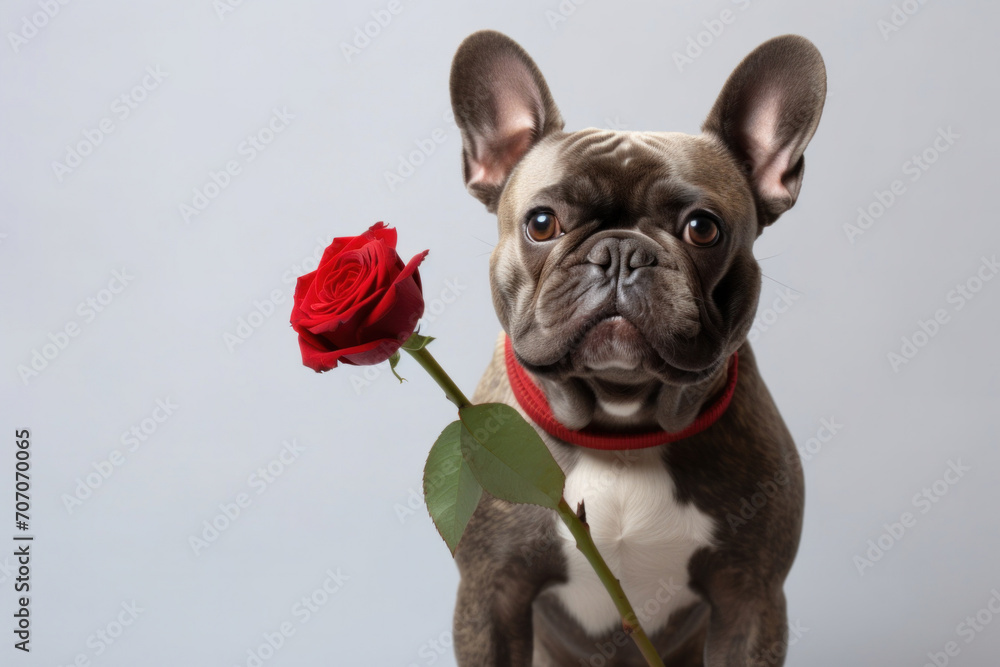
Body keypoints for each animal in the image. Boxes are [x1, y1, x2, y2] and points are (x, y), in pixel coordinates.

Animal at [450, 28, 824, 664]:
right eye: (542, 223)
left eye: (703, 228)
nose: (621, 251)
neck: (620, 428)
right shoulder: (490, 593)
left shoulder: (750, 597)